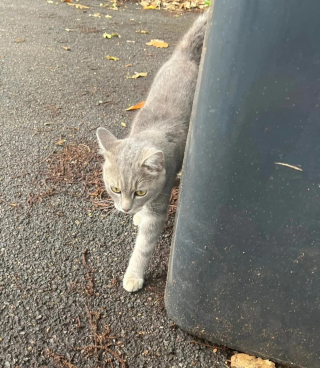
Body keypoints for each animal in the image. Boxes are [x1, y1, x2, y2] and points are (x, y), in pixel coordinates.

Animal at [96, 11, 209, 292]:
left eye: (140, 191)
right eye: (114, 189)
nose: (126, 209)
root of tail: (184, 56)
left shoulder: (159, 208)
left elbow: (143, 247)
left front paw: (133, 275)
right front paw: (136, 215)